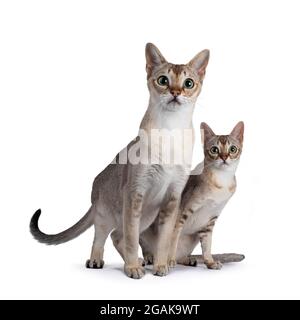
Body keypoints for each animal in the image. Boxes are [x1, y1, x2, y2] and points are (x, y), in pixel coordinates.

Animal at [29, 42, 210, 278]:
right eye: (163, 80)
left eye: (188, 83)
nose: (175, 92)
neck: (171, 132)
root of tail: (95, 191)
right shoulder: (135, 192)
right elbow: (132, 238)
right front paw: (132, 268)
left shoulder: (172, 198)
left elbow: (164, 240)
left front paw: (161, 265)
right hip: (108, 213)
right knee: (104, 235)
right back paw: (98, 260)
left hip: (148, 215)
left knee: (117, 235)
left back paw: (143, 260)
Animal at [141, 121, 244, 268]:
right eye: (214, 150)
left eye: (233, 149)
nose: (224, 157)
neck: (221, 181)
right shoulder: (181, 212)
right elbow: (173, 238)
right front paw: (169, 260)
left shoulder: (210, 221)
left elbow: (207, 245)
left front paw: (210, 262)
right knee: (145, 248)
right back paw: (151, 258)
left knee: (181, 257)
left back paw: (188, 260)